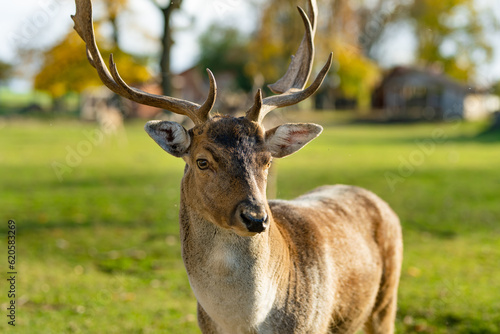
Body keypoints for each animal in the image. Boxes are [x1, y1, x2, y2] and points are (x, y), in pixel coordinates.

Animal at [73, 1, 402, 332]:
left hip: (386, 300)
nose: (256, 218)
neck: (245, 323)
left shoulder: (314, 324)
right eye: (202, 161)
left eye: (267, 160)